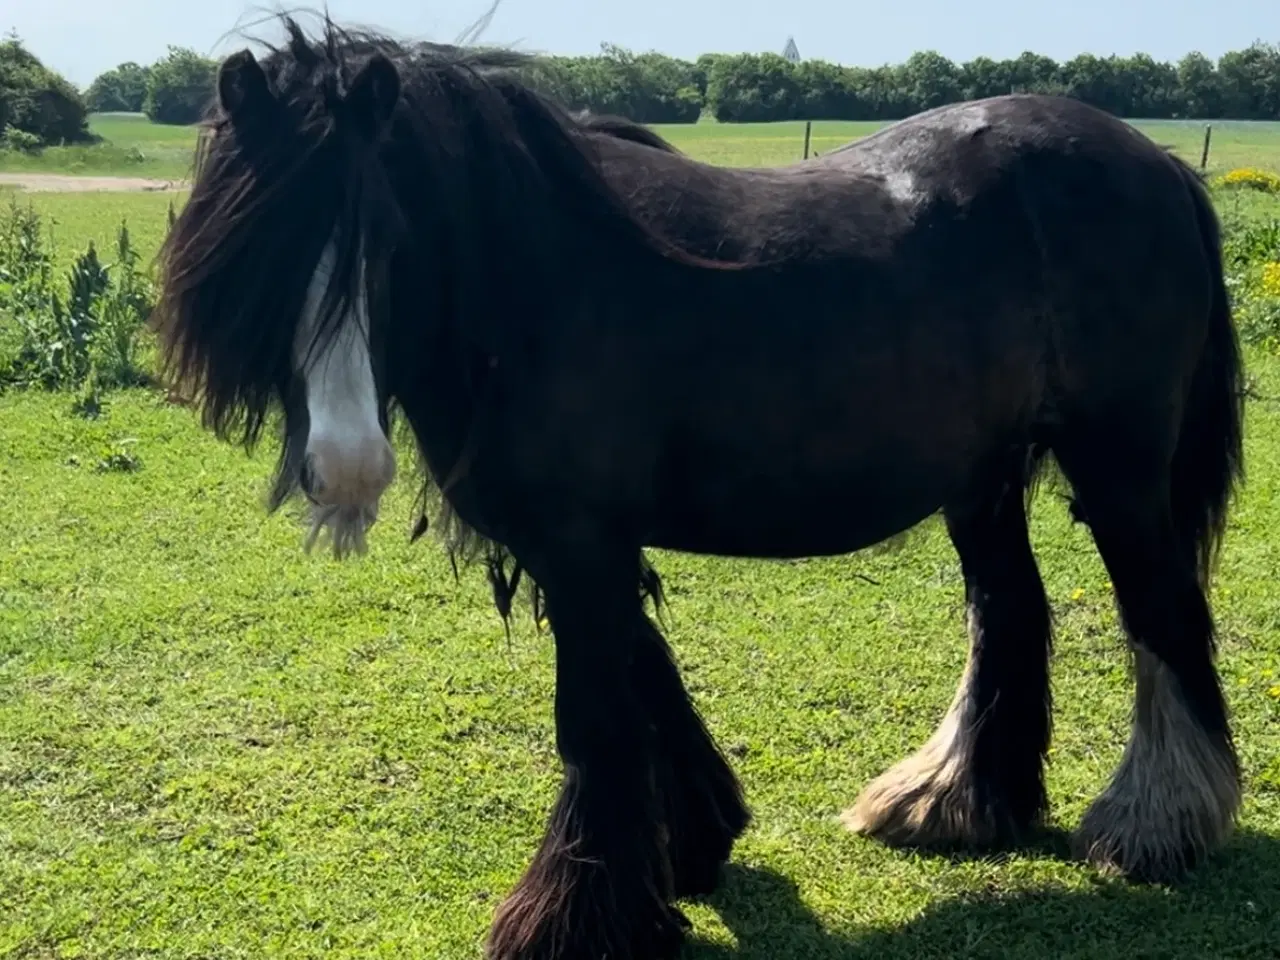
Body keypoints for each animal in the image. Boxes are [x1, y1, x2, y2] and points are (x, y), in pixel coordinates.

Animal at [154, 15, 1244, 960]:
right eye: (266, 251)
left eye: (387, 240)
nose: (345, 468)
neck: (532, 280)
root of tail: (1153, 163)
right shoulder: (575, 544)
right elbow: (645, 677)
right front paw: (690, 840)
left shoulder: (580, 539)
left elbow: (594, 716)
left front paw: (574, 917)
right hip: (981, 474)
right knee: (1007, 610)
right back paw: (956, 800)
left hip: (1117, 464)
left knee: (1160, 612)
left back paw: (1155, 824)